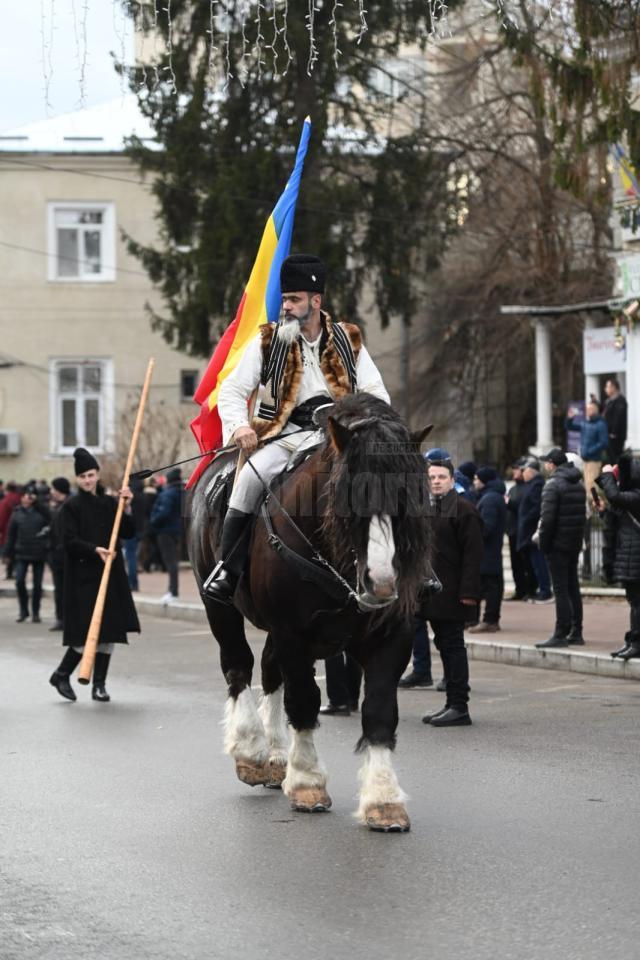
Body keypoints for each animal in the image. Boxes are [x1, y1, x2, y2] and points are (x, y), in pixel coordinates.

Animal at [188, 396, 432, 832]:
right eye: (347, 497)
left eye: (411, 498)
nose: (382, 583)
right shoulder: (292, 633)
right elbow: (303, 700)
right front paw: (306, 782)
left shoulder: (392, 635)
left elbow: (379, 710)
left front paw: (383, 799)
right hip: (219, 607)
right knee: (238, 665)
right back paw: (251, 750)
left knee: (269, 672)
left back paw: (274, 757)